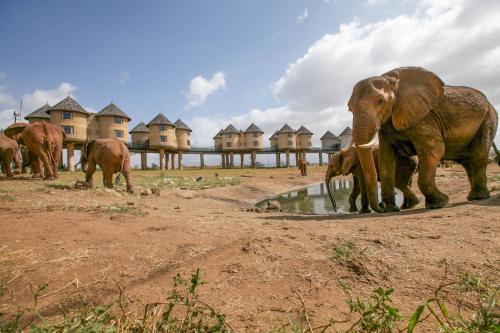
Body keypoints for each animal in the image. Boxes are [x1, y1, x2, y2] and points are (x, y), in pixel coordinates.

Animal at [350, 66, 498, 211]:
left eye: (381, 101)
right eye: (350, 109)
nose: (381, 206)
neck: (391, 80)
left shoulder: (424, 117)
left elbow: (434, 150)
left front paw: (439, 203)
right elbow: (386, 158)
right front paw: (391, 209)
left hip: (488, 118)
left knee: (478, 155)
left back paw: (478, 197)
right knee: (467, 161)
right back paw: (474, 196)